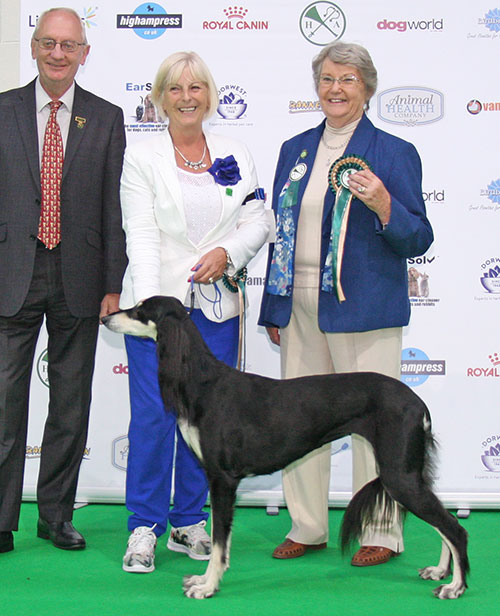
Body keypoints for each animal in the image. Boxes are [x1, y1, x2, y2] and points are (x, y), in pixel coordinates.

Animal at [103, 296, 470, 600]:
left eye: (140, 310)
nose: (106, 317)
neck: (202, 382)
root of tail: (418, 403)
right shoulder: (220, 480)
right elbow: (222, 539)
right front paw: (207, 579)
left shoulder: (222, 479)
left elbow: (220, 541)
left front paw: (208, 586)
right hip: (410, 473)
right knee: (445, 521)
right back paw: (440, 571)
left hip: (399, 476)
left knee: (455, 527)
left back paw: (455, 586)